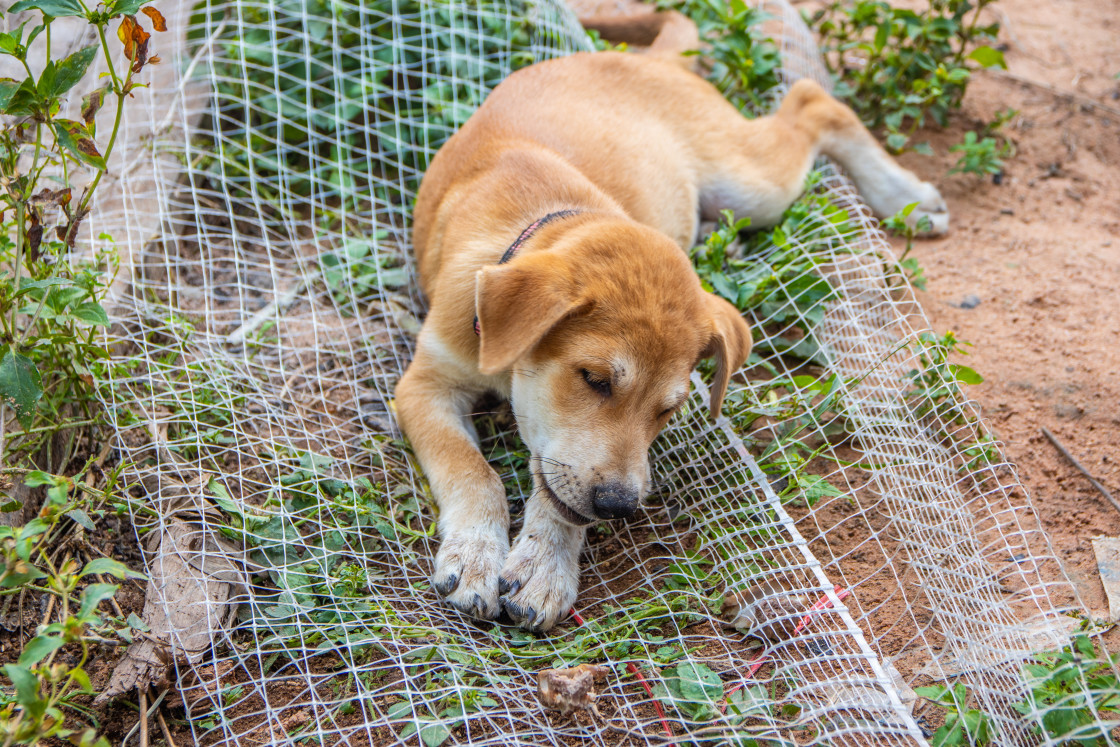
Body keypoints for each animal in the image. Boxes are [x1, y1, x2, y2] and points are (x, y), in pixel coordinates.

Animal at [394, 45, 945, 631]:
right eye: (594, 378)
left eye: (669, 410)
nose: (618, 506)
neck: (538, 218)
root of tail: (647, 56)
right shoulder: (424, 386)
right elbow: (472, 471)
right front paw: (476, 554)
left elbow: (554, 494)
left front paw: (545, 565)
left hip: (752, 184)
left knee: (812, 102)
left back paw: (907, 197)